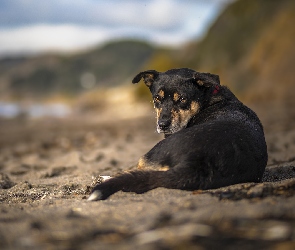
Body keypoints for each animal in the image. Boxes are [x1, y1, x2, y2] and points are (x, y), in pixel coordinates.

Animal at [87, 67, 268, 200]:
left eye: (182, 99)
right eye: (157, 99)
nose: (162, 125)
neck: (208, 99)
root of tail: (198, 162)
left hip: (151, 153)